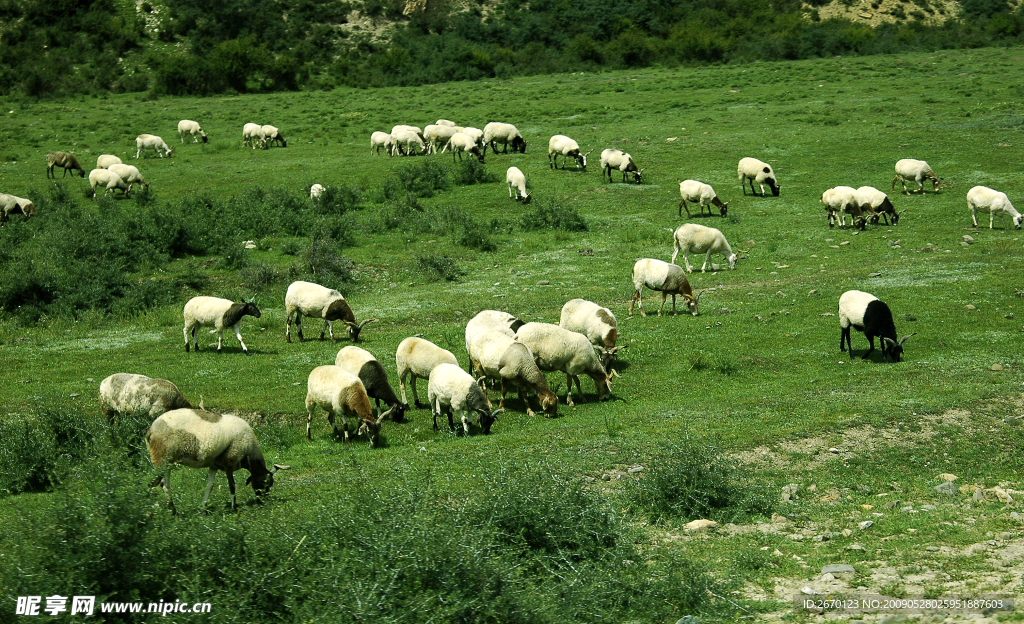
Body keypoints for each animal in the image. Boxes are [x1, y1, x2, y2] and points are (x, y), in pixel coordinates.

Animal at [144, 405, 290, 514]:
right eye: (267, 483)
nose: (262, 502)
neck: (250, 452)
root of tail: (151, 430)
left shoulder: (214, 465)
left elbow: (210, 486)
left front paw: (203, 509)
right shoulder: (229, 463)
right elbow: (232, 486)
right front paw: (234, 508)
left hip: (167, 462)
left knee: (164, 484)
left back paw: (173, 511)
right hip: (161, 459)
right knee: (154, 484)